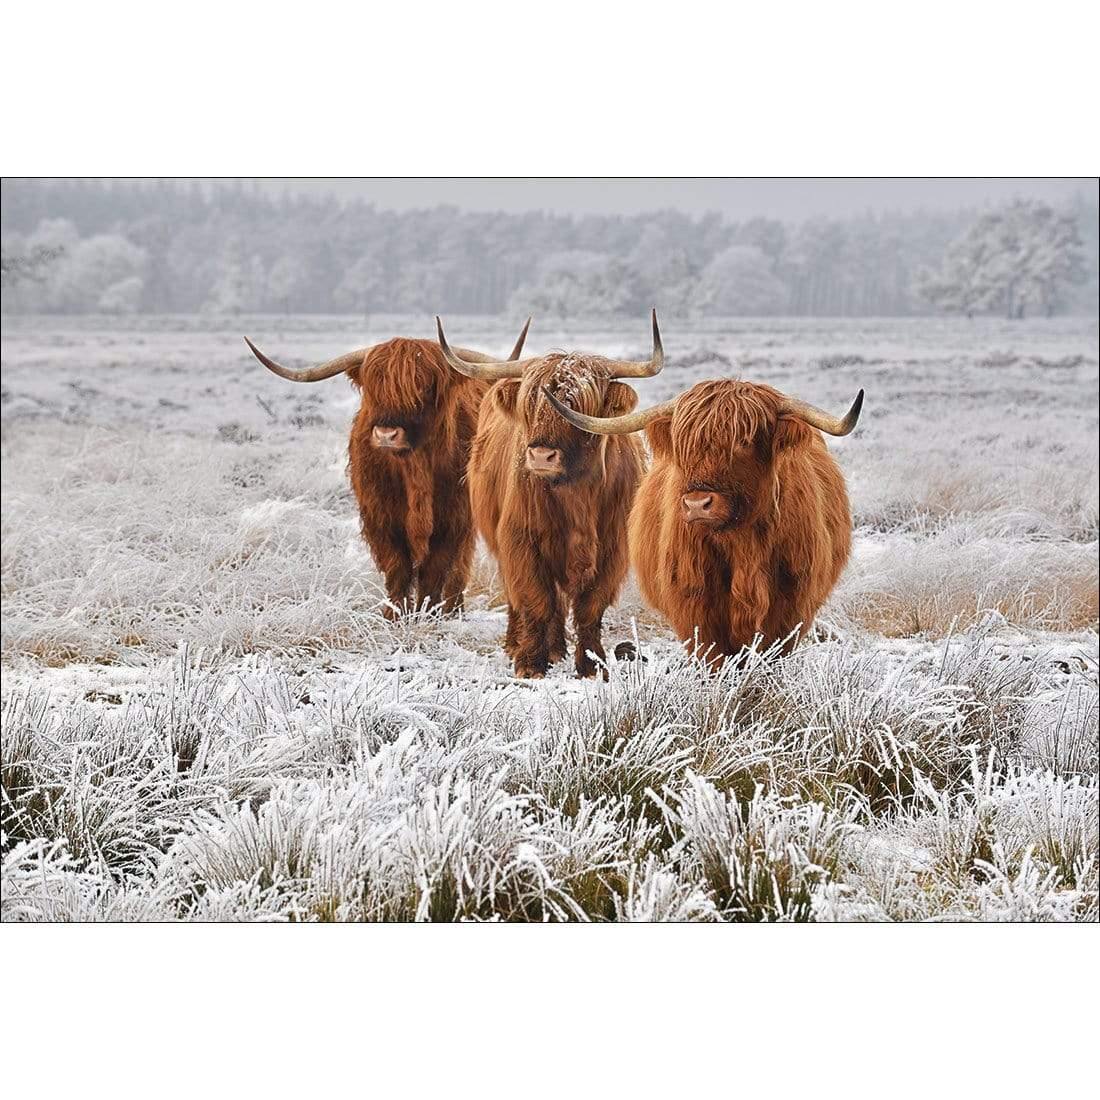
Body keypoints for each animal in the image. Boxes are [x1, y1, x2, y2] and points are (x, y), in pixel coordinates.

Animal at [242, 323, 532, 620]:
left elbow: (435, 568)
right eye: (373, 388)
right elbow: (397, 567)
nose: (386, 435)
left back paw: (453, 610)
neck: (414, 468)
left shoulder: (454, 517)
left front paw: (427, 614)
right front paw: (394, 615)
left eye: (424, 387)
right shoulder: (380, 517)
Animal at [435, 310, 660, 682]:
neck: (575, 495)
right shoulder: (521, 541)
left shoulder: (612, 550)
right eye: (530, 405)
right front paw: (530, 662)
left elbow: (589, 607)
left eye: (579, 406)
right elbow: (536, 600)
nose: (541, 456)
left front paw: (592, 665)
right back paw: (524, 645)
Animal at [545, 374, 862, 660]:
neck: (742, 545)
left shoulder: (791, 606)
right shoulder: (694, 605)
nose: (697, 504)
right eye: (683, 444)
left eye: (744, 441)